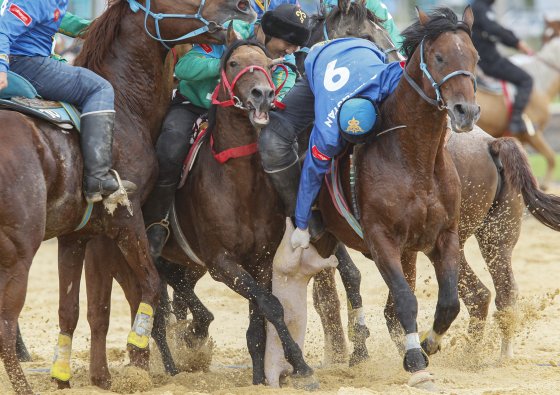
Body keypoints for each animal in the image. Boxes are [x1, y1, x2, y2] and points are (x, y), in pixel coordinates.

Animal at [0, 1, 256, 394]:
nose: (242, 8)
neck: (124, 105)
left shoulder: (78, 236)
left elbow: (78, 309)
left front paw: (76, 377)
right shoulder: (124, 220)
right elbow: (147, 288)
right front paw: (136, 359)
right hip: (19, 251)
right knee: (6, 322)